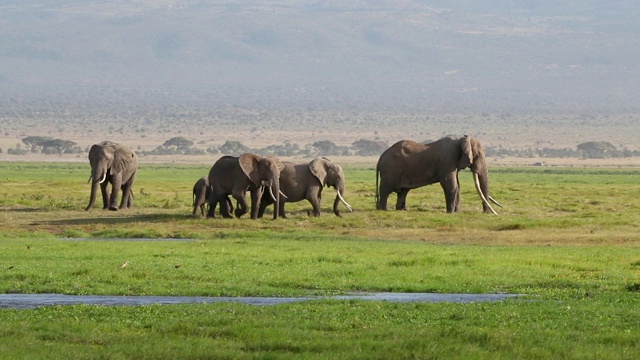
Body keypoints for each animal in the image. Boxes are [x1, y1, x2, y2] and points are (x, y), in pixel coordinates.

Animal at [376, 135, 504, 214]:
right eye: (478, 155)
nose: (485, 212)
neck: (461, 139)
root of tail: (380, 158)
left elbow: (457, 186)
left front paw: (456, 212)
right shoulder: (447, 160)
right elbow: (450, 185)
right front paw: (450, 213)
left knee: (403, 191)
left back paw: (402, 210)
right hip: (389, 171)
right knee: (385, 191)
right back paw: (383, 210)